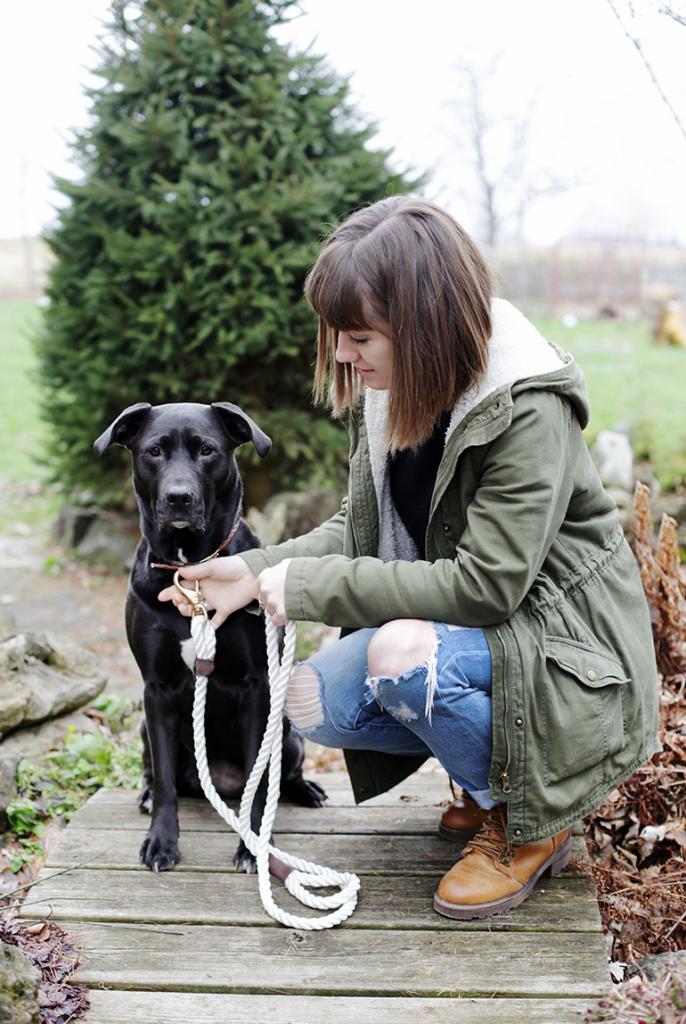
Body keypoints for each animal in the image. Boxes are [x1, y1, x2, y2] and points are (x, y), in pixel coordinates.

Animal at [94, 399, 327, 872]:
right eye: (153, 451)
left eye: (207, 451)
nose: (178, 497)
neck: (191, 571)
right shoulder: (156, 690)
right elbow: (166, 780)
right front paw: (161, 842)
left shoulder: (257, 688)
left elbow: (259, 783)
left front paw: (252, 847)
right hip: (144, 728)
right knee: (159, 773)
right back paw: (146, 795)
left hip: (288, 729)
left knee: (281, 775)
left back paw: (305, 790)